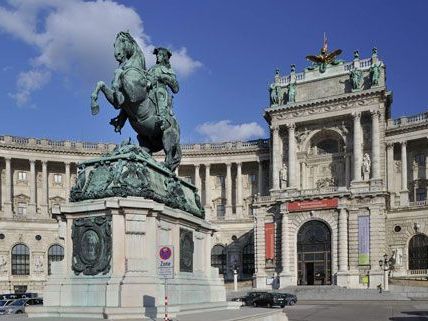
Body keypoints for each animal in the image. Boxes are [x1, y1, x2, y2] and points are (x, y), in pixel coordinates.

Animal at [91, 32, 181, 171]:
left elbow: (120, 73)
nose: (117, 55)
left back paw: (164, 167)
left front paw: (116, 84)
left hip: (168, 135)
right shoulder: (122, 100)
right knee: (148, 151)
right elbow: (101, 84)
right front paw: (94, 105)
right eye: (114, 43)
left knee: (170, 157)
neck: (134, 69)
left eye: (123, 40)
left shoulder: (135, 93)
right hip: (144, 137)